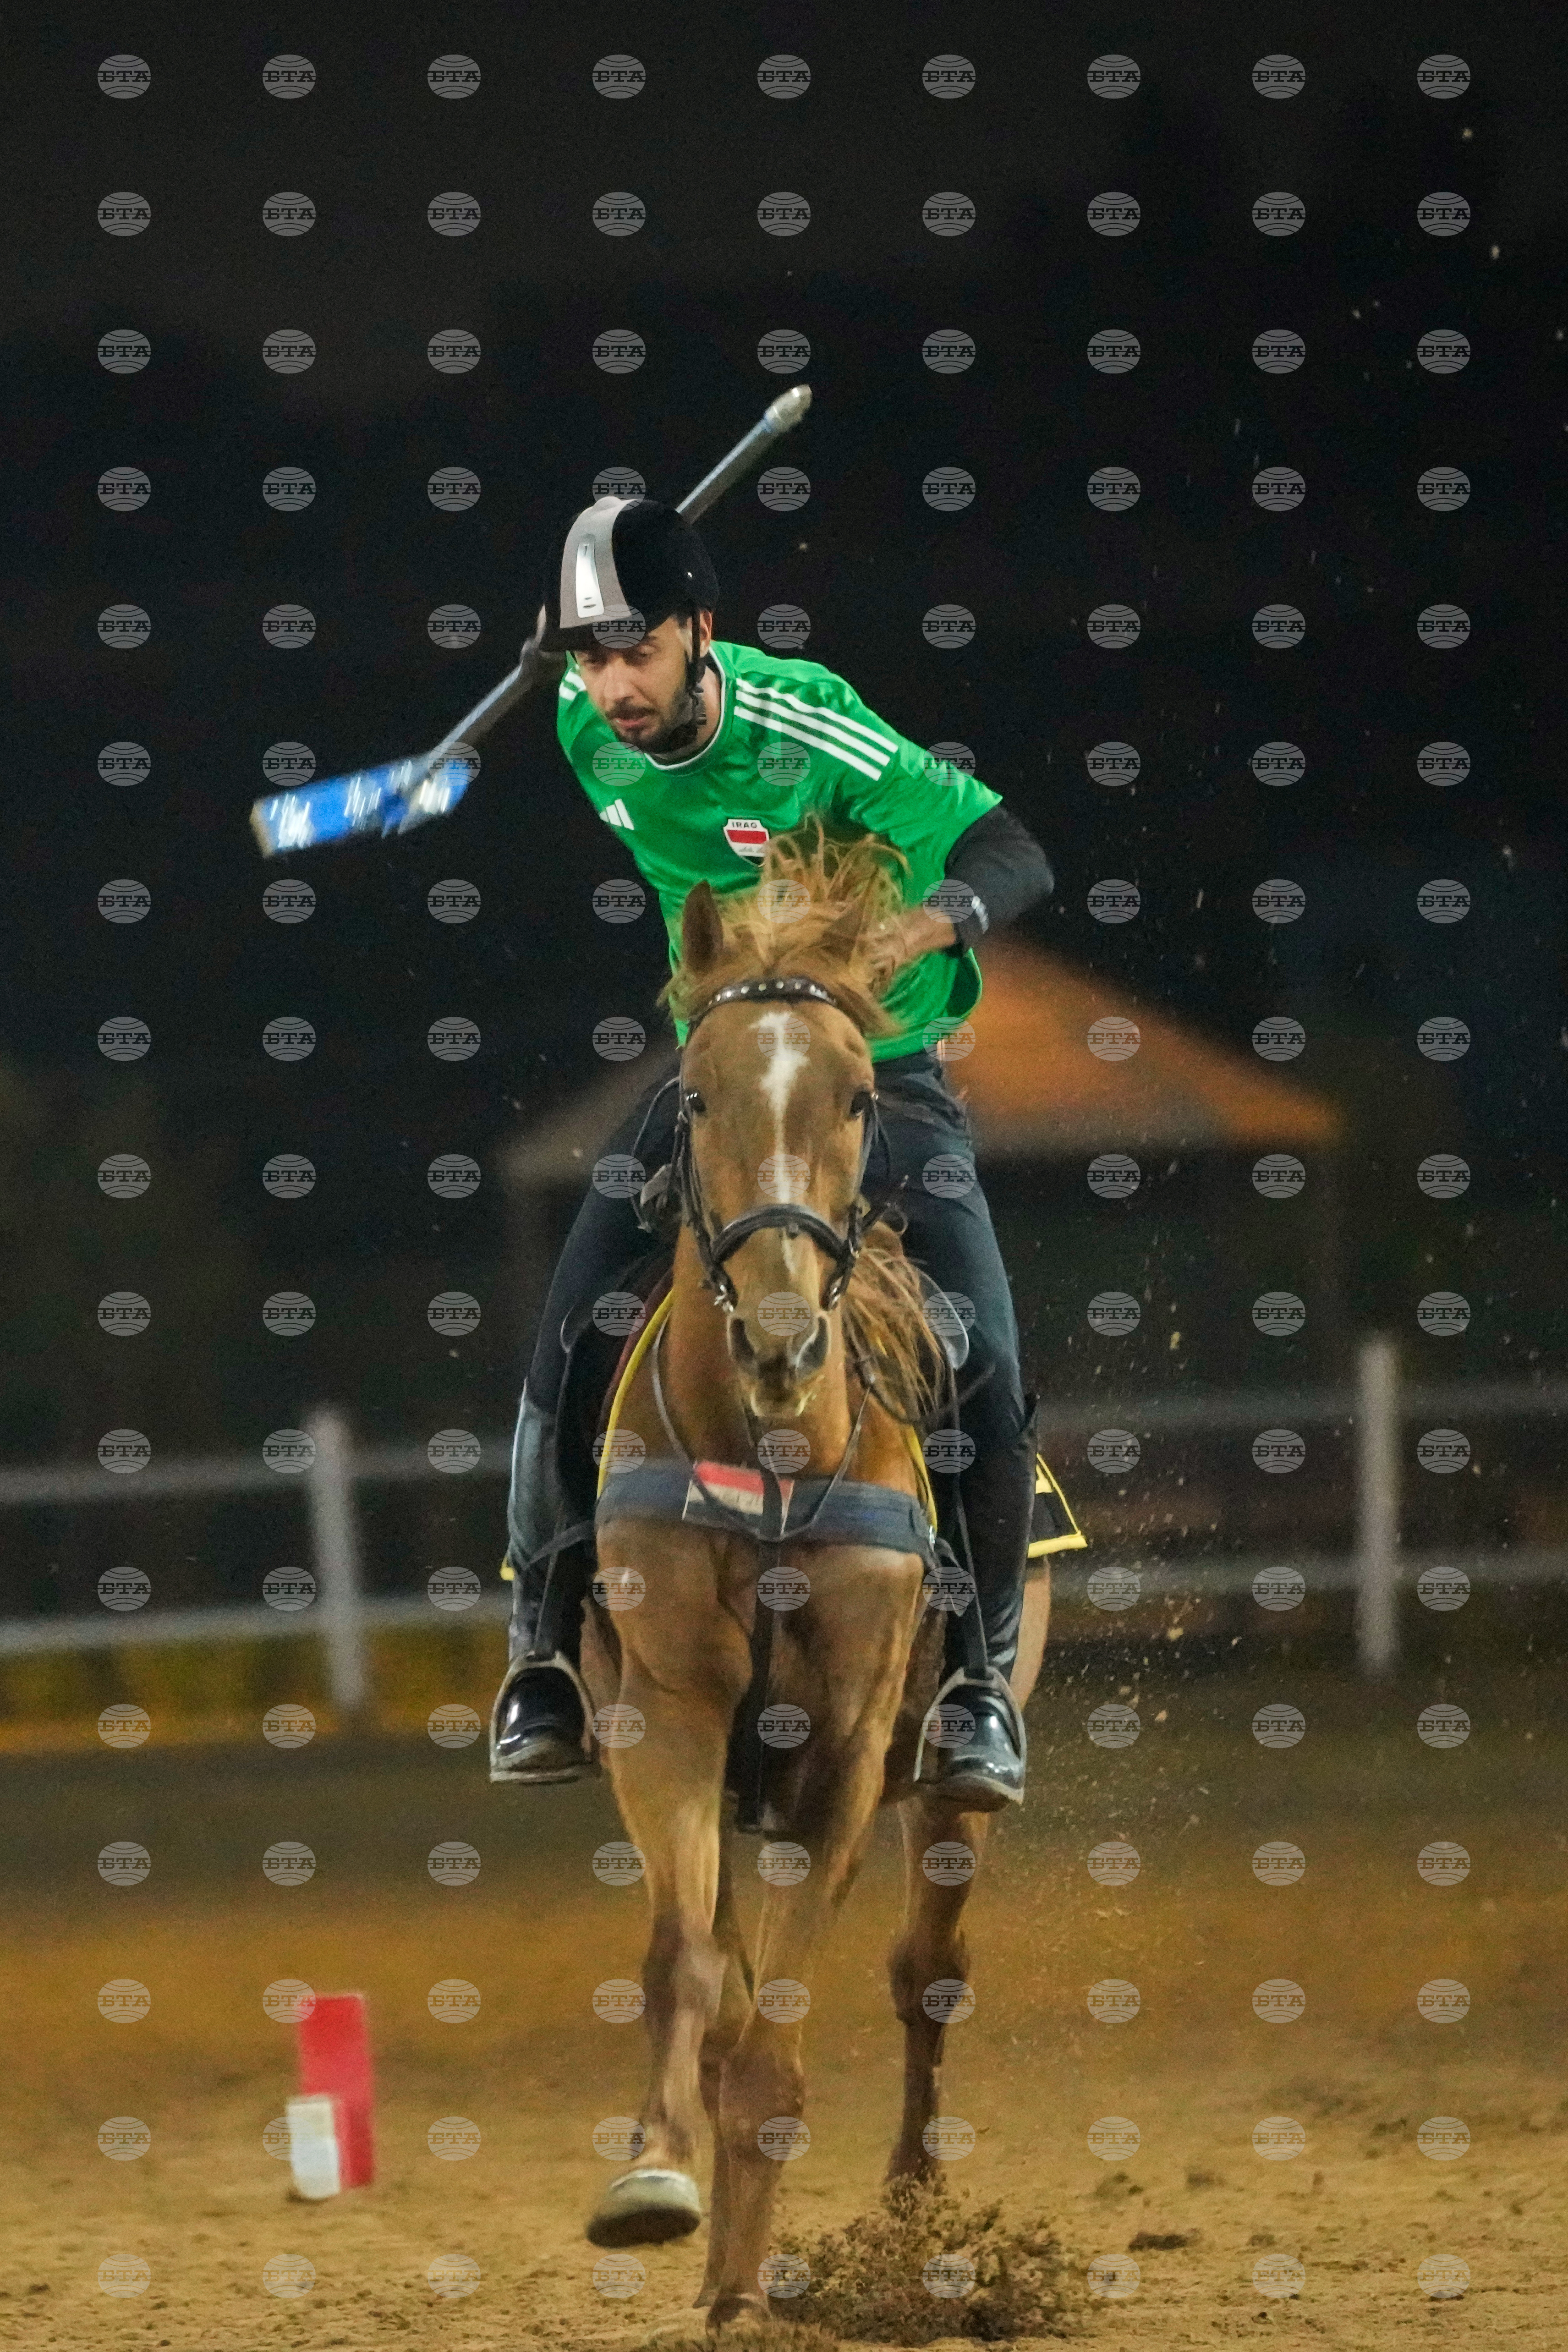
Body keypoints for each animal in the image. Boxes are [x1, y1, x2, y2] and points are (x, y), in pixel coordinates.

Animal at [573, 831, 1051, 2327]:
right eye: (694, 1091)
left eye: (853, 1095)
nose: (780, 1340)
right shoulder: (666, 1718)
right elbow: (690, 1974)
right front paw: (657, 2184)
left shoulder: (839, 1755)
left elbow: (781, 2040)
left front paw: (746, 2278)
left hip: (944, 1787)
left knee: (926, 1977)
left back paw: (910, 2216)